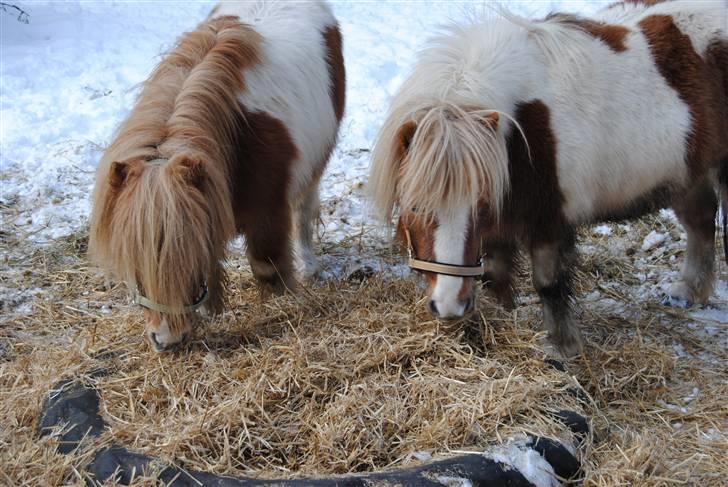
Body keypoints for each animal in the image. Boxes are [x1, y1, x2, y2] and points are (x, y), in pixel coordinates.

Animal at [88, 0, 344, 350]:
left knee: (304, 211)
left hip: (315, 165)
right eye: (135, 264)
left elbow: (268, 267)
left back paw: (309, 266)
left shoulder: (269, 216)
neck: (237, 138)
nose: (166, 340)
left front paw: (282, 305)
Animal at [372, 0, 724, 358]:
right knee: (700, 220)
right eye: (414, 208)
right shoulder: (499, 223)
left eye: (480, 208)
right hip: (686, 172)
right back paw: (689, 291)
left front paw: (562, 346)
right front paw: (502, 320)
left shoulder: (549, 220)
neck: (523, 129)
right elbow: (495, 276)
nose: (448, 306)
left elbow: (549, 283)